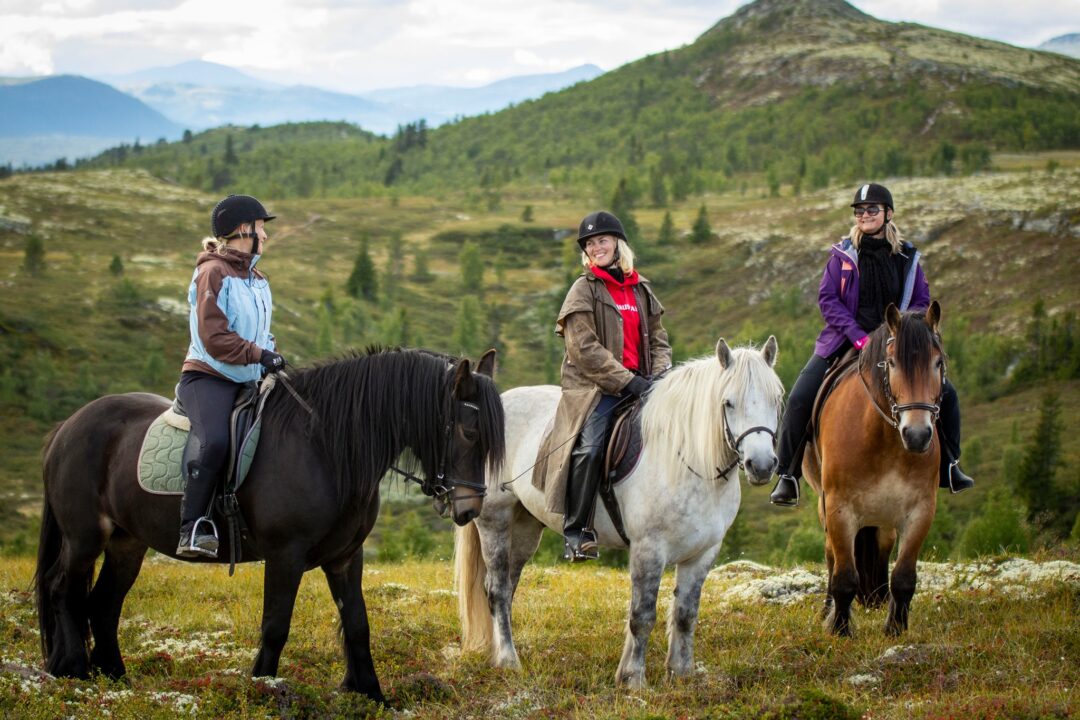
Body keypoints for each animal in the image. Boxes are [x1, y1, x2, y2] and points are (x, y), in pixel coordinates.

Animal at [34, 347, 505, 703]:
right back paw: (73, 670)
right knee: (64, 590)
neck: (325, 446)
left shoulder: (345, 558)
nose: (469, 510)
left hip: (127, 544)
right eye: (467, 432)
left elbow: (357, 624)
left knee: (103, 603)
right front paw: (261, 689)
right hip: (84, 537)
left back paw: (115, 676)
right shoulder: (285, 556)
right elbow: (276, 625)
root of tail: (67, 426)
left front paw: (371, 694)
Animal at [455, 337, 784, 687]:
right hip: (495, 521)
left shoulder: (703, 553)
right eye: (729, 403)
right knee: (498, 591)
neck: (688, 460)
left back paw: (498, 652)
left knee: (505, 587)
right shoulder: (649, 549)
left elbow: (685, 614)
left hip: (525, 528)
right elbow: (642, 615)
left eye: (776, 399)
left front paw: (681, 674)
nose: (761, 465)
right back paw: (508, 660)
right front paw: (633, 678)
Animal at [804, 302, 945, 637]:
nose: (917, 435)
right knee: (831, 555)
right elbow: (844, 576)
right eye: (891, 363)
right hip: (825, 505)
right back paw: (828, 610)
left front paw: (895, 627)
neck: (884, 437)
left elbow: (904, 576)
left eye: (938, 362)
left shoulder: (921, 509)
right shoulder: (839, 507)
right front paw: (840, 629)